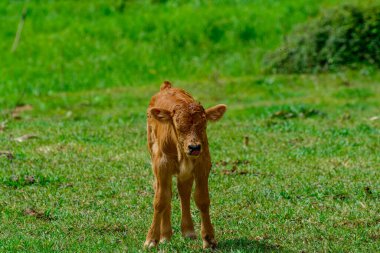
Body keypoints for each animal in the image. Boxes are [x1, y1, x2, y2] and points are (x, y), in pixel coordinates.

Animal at [142, 81, 226, 249]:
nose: (194, 147)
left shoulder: (203, 163)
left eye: (204, 125)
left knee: (183, 191)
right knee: (164, 192)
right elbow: (160, 200)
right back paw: (165, 235)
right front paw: (151, 239)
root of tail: (166, 86)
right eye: (178, 126)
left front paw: (209, 238)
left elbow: (202, 199)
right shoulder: (161, 165)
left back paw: (188, 231)